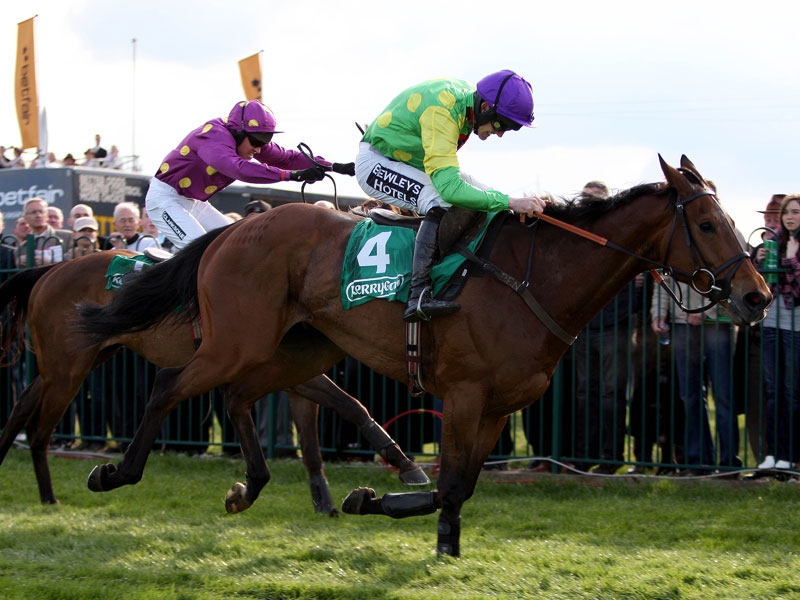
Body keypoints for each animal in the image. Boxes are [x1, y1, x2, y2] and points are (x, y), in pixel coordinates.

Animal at [0, 246, 429, 514]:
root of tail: (50, 269)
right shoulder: (272, 366)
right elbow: (343, 408)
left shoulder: (294, 373)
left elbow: (333, 421)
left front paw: (328, 500)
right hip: (67, 369)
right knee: (38, 431)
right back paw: (49, 497)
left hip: (70, 363)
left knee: (19, 409)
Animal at [76, 156, 771, 556]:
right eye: (707, 224)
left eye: (729, 218)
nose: (757, 295)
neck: (535, 280)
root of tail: (231, 228)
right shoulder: (464, 394)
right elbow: (449, 484)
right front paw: (376, 502)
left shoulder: (499, 406)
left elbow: (460, 486)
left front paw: (438, 541)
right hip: (234, 342)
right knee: (170, 386)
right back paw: (116, 473)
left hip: (296, 349)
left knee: (239, 396)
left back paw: (249, 487)